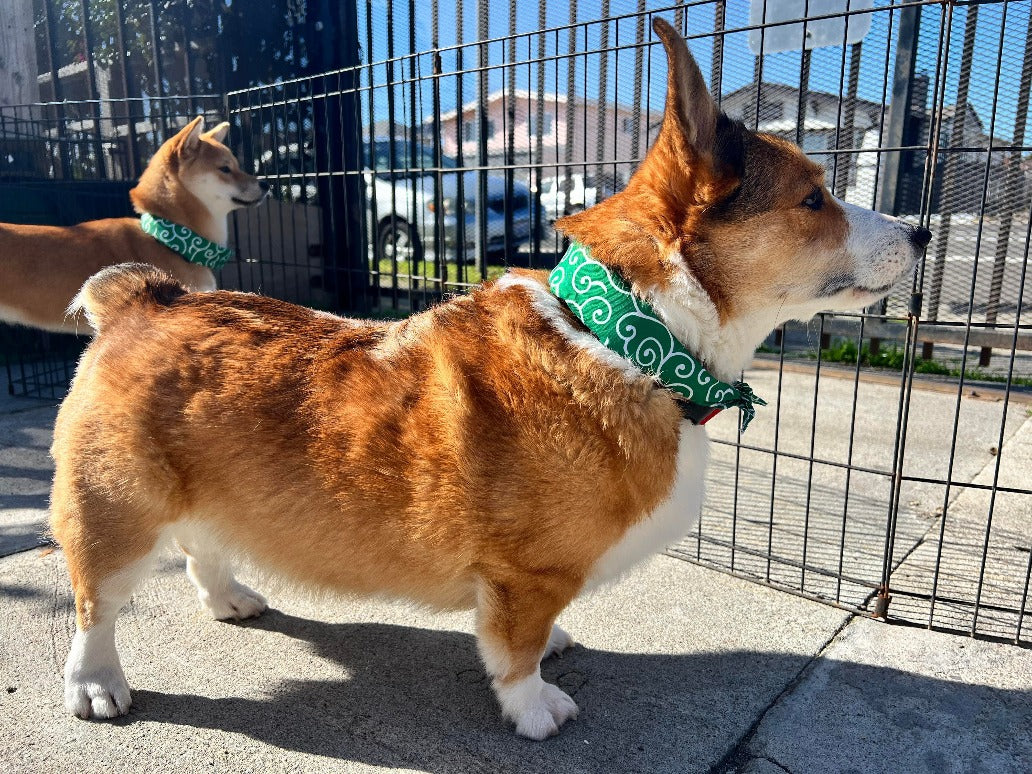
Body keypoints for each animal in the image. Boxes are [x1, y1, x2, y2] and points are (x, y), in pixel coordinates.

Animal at [52, 21, 932, 743]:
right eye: (813, 199)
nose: (924, 230)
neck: (629, 335)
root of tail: (140, 297)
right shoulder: (524, 576)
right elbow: (516, 649)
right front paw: (536, 705)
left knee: (201, 542)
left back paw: (229, 597)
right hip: (115, 510)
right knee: (97, 601)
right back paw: (97, 685)